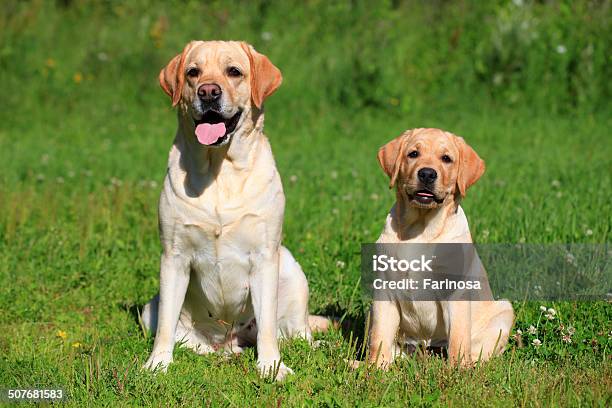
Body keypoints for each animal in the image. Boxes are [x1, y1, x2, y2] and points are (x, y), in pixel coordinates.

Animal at [141, 41, 328, 380]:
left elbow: (267, 328)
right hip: (151, 307)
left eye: (234, 72)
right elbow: (165, 328)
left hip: (291, 271)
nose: (208, 92)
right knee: (184, 336)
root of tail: (227, 340)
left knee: (297, 332)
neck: (220, 170)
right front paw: (157, 364)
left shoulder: (265, 256)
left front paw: (272, 367)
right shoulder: (173, 257)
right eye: (193, 72)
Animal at [366, 128, 512, 370]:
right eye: (413, 154)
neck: (421, 229)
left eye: (446, 159)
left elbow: (458, 340)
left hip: (504, 311)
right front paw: (374, 369)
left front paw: (457, 372)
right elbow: (379, 337)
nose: (427, 174)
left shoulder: (455, 291)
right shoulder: (384, 290)